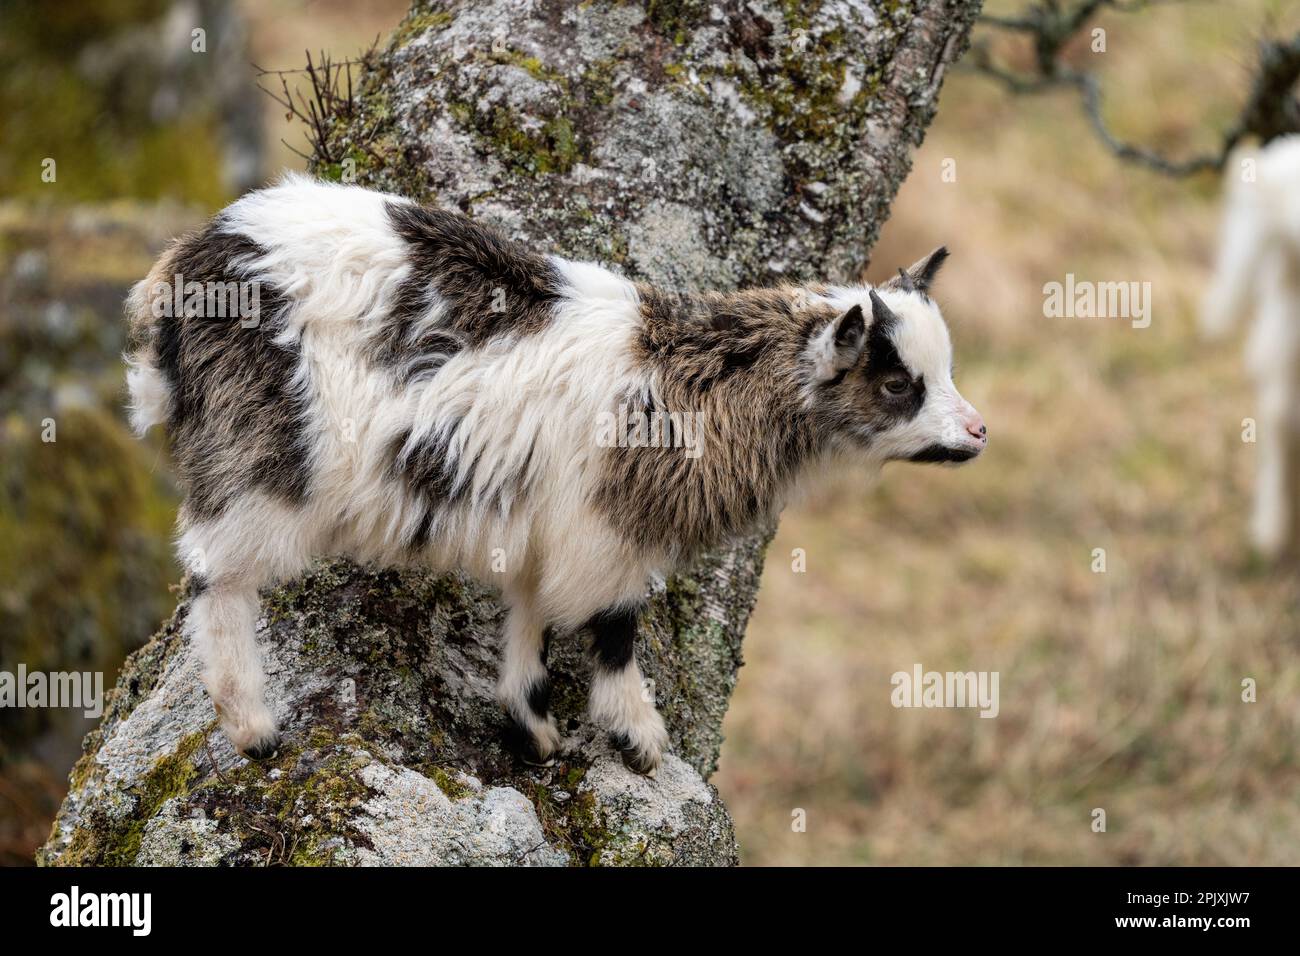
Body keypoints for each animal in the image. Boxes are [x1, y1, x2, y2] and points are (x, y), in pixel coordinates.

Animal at [129, 175, 982, 775]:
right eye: (898, 384)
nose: (977, 433)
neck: (696, 377)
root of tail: (183, 268)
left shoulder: (550, 520)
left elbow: (531, 612)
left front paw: (532, 727)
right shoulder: (609, 528)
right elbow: (615, 623)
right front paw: (637, 736)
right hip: (266, 446)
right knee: (215, 572)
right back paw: (252, 728)